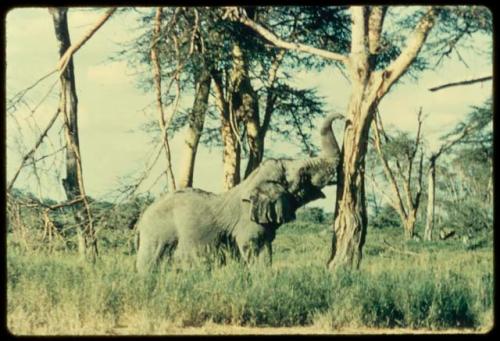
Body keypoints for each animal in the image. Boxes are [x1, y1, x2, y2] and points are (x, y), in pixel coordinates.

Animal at [135, 113, 342, 272]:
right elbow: (255, 247)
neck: (252, 182)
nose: (342, 117)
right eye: (303, 173)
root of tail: (141, 219)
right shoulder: (247, 223)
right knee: (149, 264)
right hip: (157, 233)